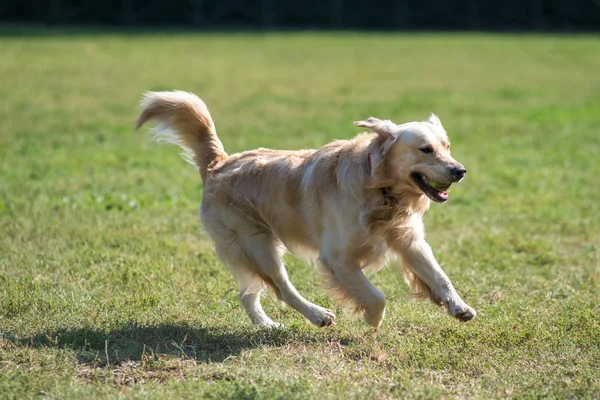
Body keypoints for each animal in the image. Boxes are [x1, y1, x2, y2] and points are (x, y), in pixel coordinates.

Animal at [137, 90, 478, 328]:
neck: (379, 190)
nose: (460, 170)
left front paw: (459, 306)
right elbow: (376, 296)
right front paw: (371, 318)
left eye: (447, 146)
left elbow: (439, 276)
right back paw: (318, 315)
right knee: (281, 288)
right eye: (426, 149)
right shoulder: (338, 258)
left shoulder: (409, 241)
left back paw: (267, 325)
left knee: (248, 293)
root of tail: (218, 163)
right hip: (257, 243)